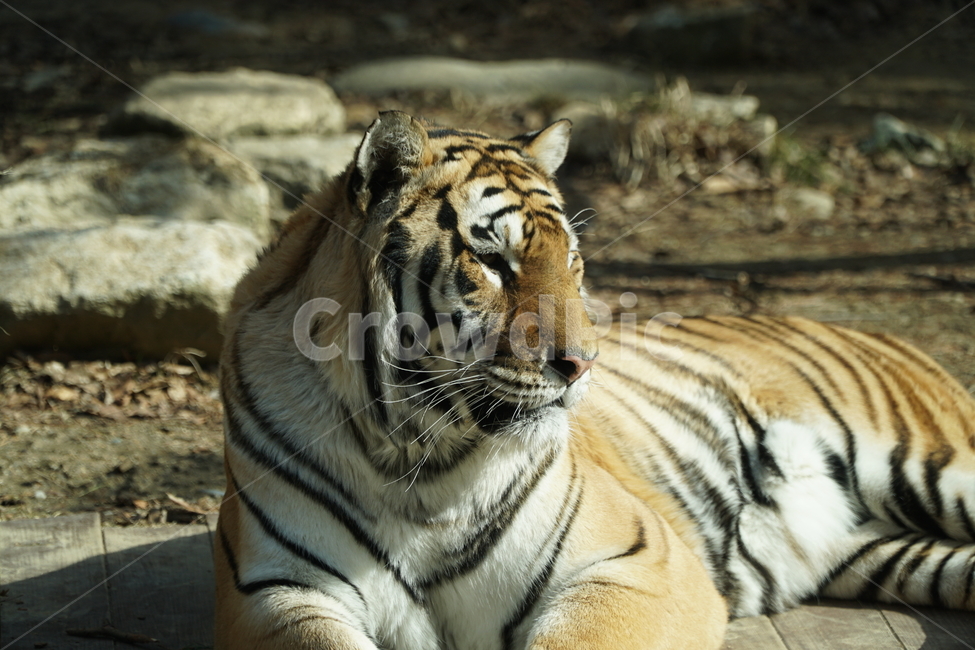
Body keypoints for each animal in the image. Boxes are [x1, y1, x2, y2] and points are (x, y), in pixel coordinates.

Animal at [214, 111, 975, 650]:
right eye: (492, 260)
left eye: (572, 259)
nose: (582, 364)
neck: (417, 462)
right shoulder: (276, 591)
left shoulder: (634, 561)